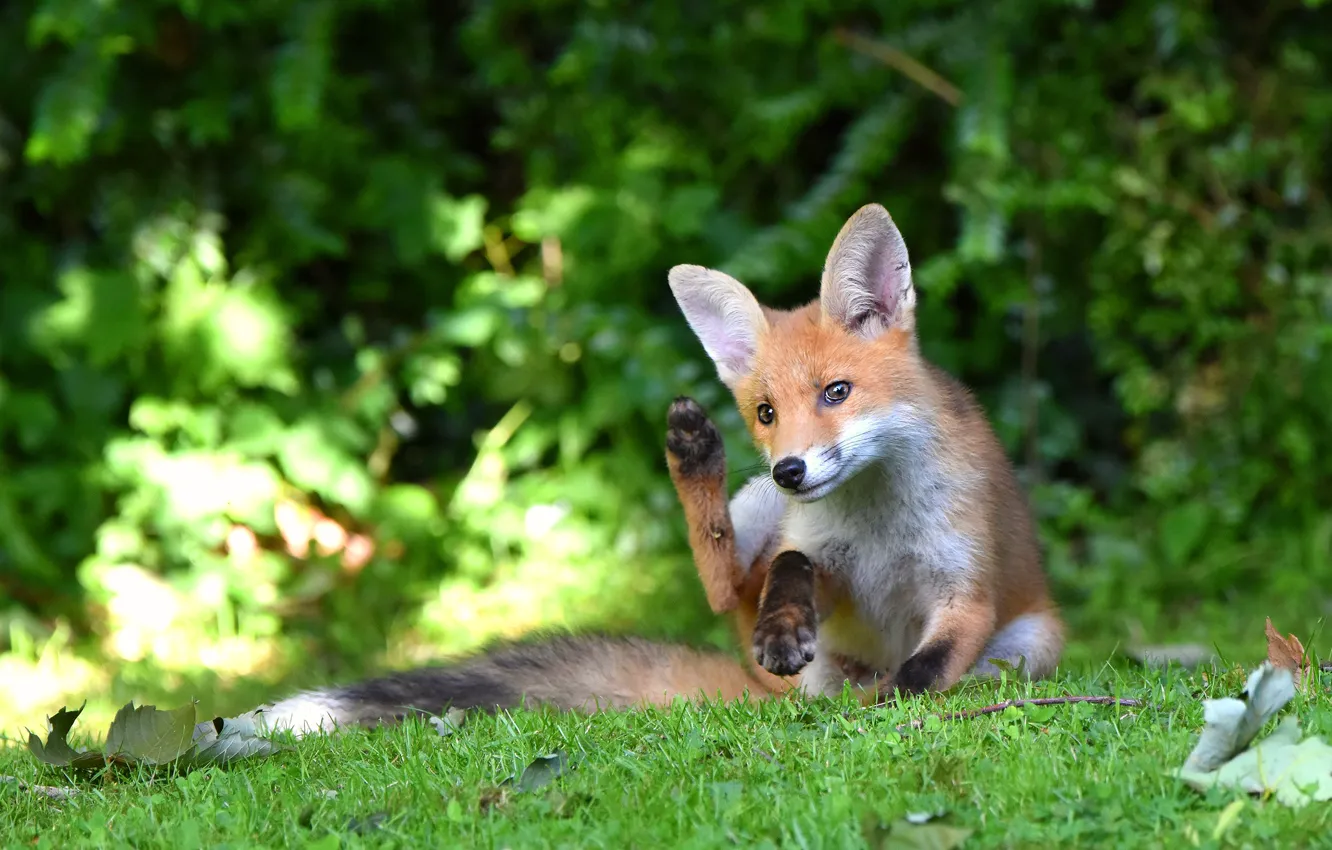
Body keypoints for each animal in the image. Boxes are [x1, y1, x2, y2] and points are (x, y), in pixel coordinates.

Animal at [245, 203, 1061, 736]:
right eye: (767, 412)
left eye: (837, 393)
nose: (793, 470)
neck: (880, 520)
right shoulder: (828, 562)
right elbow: (791, 566)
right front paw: (785, 625)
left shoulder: (966, 590)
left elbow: (923, 671)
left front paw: (898, 696)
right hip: (756, 510)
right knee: (727, 582)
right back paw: (693, 457)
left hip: (1032, 643)